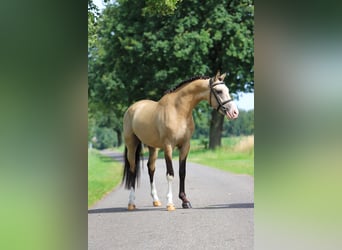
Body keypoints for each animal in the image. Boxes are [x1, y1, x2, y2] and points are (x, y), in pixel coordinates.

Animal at [122, 71, 238, 210]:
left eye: (227, 90)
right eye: (219, 91)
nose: (234, 112)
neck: (178, 111)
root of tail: (132, 108)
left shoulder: (185, 146)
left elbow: (182, 172)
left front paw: (184, 200)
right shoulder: (168, 147)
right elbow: (170, 174)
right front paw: (170, 203)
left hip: (153, 147)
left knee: (151, 169)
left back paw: (156, 200)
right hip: (132, 145)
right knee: (133, 170)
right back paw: (131, 203)